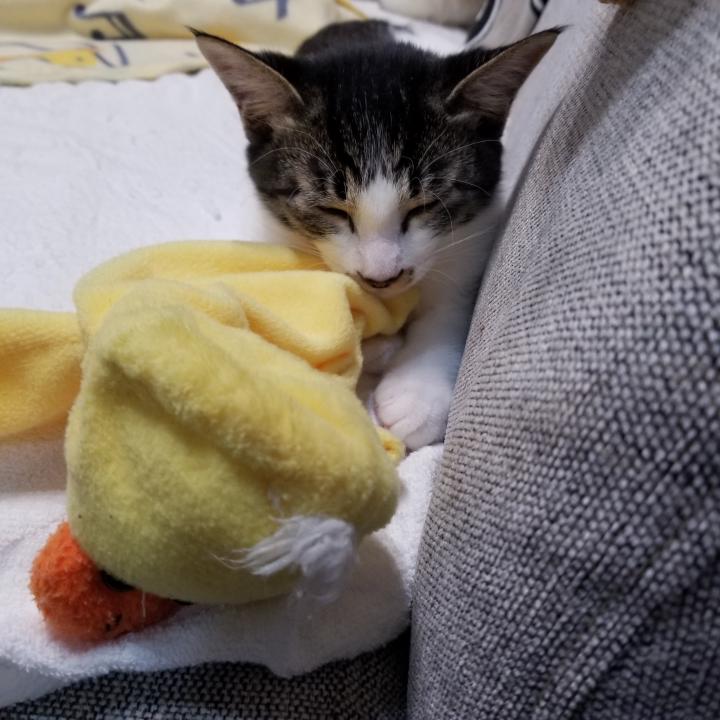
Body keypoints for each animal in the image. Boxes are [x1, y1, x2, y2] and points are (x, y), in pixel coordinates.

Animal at [194, 21, 559, 449]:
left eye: (423, 206)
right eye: (332, 210)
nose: (381, 277)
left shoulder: (474, 237)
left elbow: (449, 307)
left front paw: (418, 393)